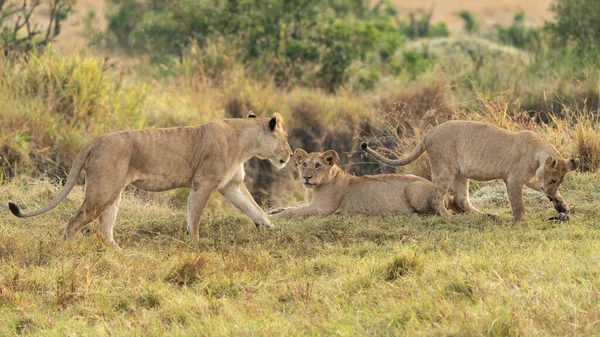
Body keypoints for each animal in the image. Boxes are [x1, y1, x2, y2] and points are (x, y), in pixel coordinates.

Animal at [7, 111, 292, 245]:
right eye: (287, 138)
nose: (290, 154)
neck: (246, 143)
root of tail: (95, 140)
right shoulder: (204, 183)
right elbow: (195, 217)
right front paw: (194, 244)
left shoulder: (231, 185)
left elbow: (255, 210)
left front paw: (272, 230)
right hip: (102, 192)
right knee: (74, 221)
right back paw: (65, 251)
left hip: (112, 194)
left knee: (104, 229)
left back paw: (121, 255)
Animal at [268, 148, 454, 217]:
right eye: (304, 164)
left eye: (318, 165)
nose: (306, 177)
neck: (313, 189)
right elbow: (291, 207)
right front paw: (274, 211)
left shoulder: (322, 209)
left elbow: (294, 211)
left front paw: (274, 217)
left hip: (413, 188)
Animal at [360, 120, 580, 220]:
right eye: (553, 180)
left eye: (559, 181)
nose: (550, 191)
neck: (538, 154)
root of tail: (428, 134)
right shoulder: (514, 179)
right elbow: (518, 203)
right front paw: (520, 220)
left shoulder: (530, 178)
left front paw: (561, 205)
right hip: (445, 167)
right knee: (435, 198)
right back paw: (448, 216)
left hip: (460, 174)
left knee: (461, 200)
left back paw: (486, 215)